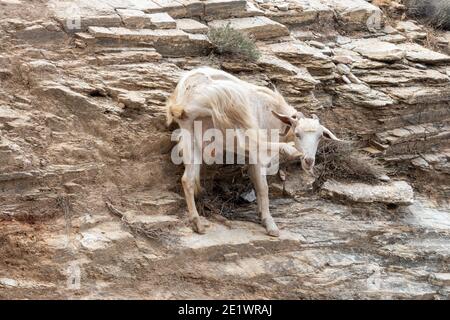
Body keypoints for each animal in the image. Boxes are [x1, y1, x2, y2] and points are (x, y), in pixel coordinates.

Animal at [167, 67, 340, 238]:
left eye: (320, 136)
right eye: (298, 134)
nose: (309, 160)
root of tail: (183, 92)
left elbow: (256, 183)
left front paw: (261, 213)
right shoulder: (256, 157)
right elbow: (263, 187)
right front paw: (269, 223)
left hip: (191, 133)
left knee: (187, 179)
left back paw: (197, 223)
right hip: (230, 104)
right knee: (254, 140)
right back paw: (288, 149)